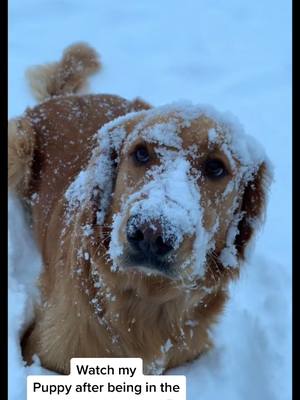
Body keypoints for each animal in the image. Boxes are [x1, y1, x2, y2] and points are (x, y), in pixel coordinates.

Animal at [8, 43, 272, 376]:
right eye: (141, 153)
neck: (146, 302)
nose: (150, 234)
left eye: (216, 167)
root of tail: (62, 99)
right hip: (18, 141)